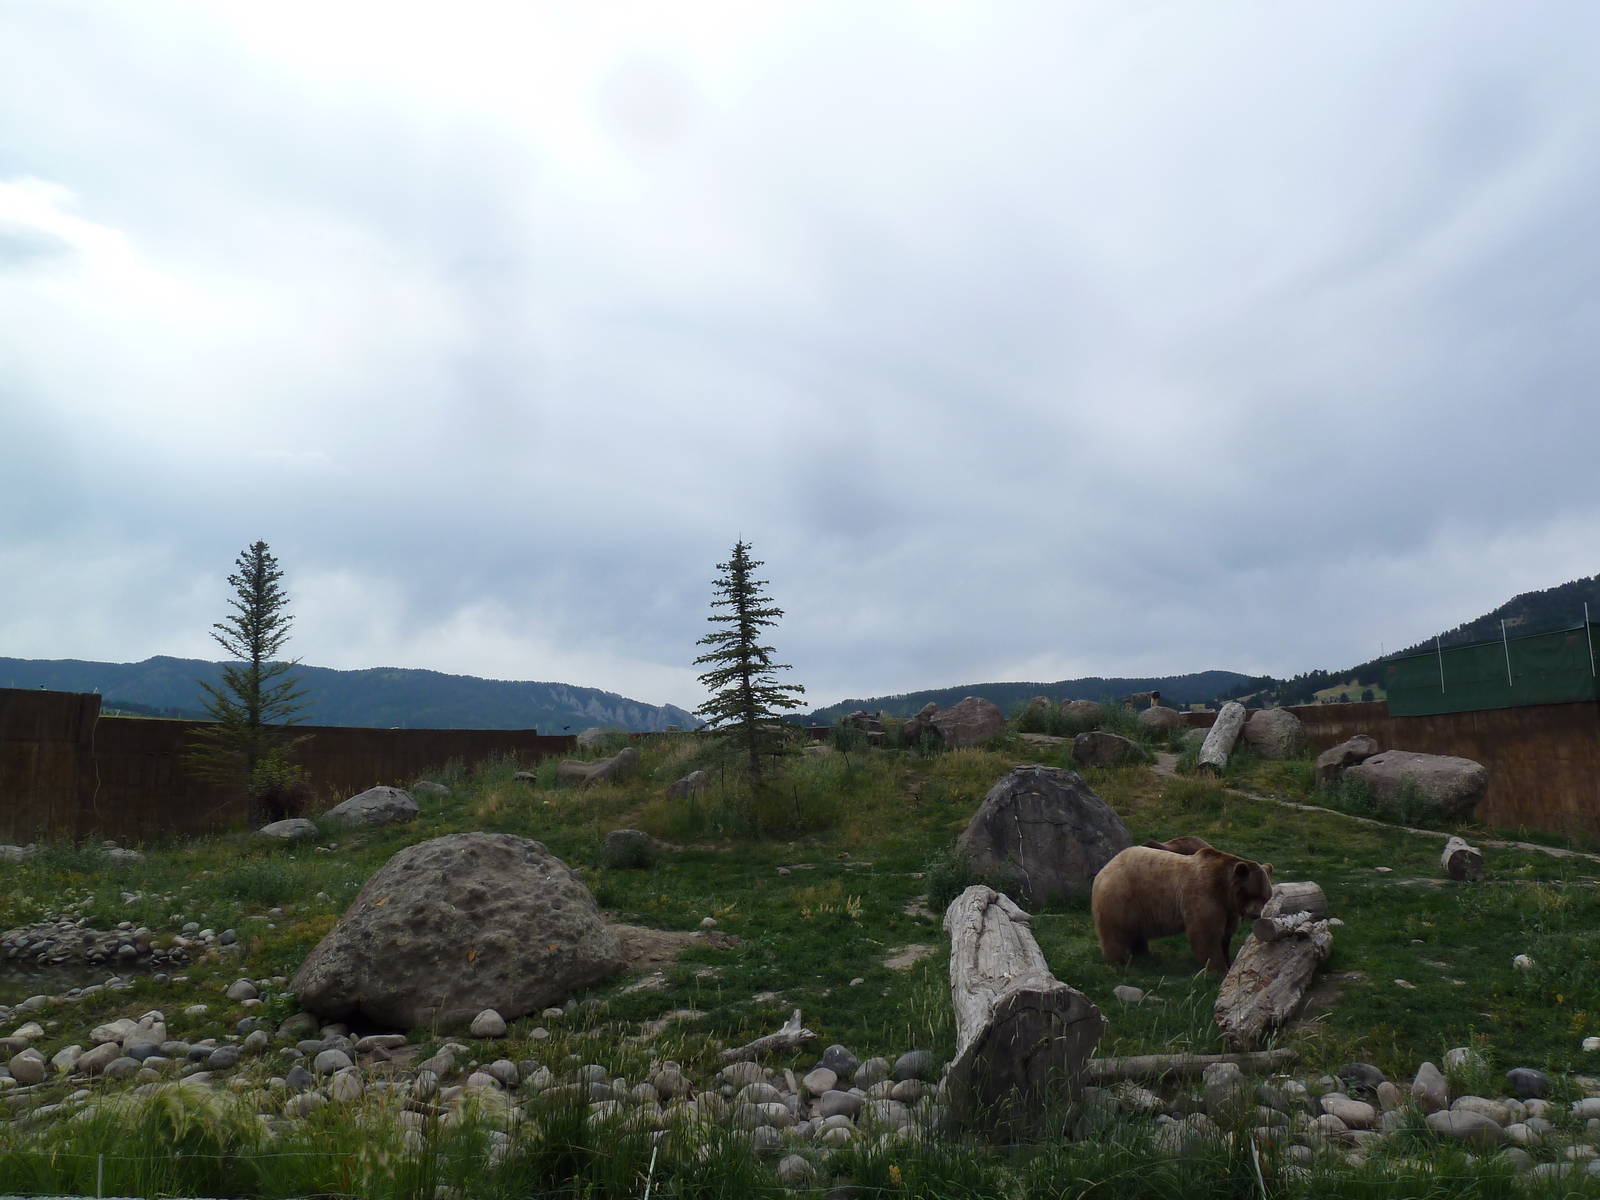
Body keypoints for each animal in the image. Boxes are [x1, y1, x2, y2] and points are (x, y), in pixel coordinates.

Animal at [1091, 842, 1274, 972]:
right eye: (1252, 893)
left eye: (1265, 896)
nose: (1256, 914)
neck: (1224, 890)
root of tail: (1104, 869)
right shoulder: (1204, 894)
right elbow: (1206, 934)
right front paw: (1218, 969)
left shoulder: (1228, 909)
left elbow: (1225, 936)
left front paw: (1228, 962)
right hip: (1122, 897)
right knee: (1115, 931)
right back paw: (1117, 961)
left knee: (1136, 932)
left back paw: (1144, 955)